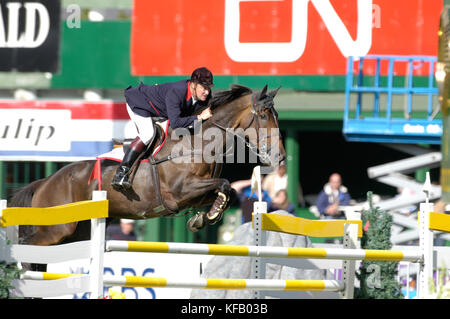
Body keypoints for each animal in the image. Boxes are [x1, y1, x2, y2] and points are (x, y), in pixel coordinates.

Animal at [9, 84, 284, 254]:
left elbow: (228, 191)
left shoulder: (197, 193)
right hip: (56, 229)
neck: (197, 144)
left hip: (78, 232)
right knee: (27, 246)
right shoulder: (180, 193)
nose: (280, 156)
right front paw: (209, 216)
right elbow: (226, 184)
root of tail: (45, 182)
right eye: (263, 116)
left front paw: (204, 218)